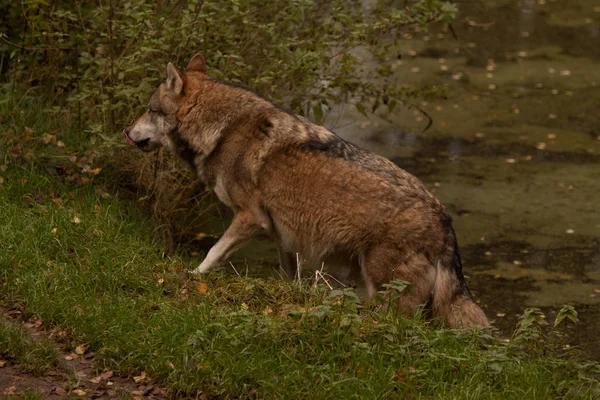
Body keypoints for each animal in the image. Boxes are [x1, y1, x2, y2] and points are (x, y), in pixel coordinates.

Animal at [124, 54, 490, 328]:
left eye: (150, 109)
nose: (126, 131)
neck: (223, 130)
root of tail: (445, 220)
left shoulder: (249, 218)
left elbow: (213, 253)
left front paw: (189, 276)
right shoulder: (283, 236)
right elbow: (291, 276)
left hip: (385, 292)